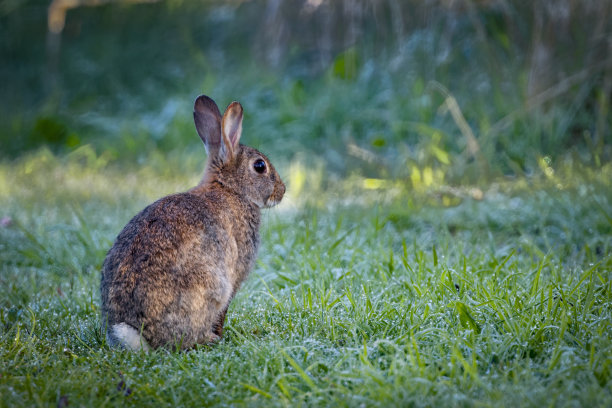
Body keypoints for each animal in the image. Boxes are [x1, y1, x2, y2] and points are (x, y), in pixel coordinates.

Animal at [101, 94, 286, 350]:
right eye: (260, 166)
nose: (282, 191)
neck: (229, 188)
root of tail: (138, 333)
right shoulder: (235, 274)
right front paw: (220, 333)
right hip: (211, 286)